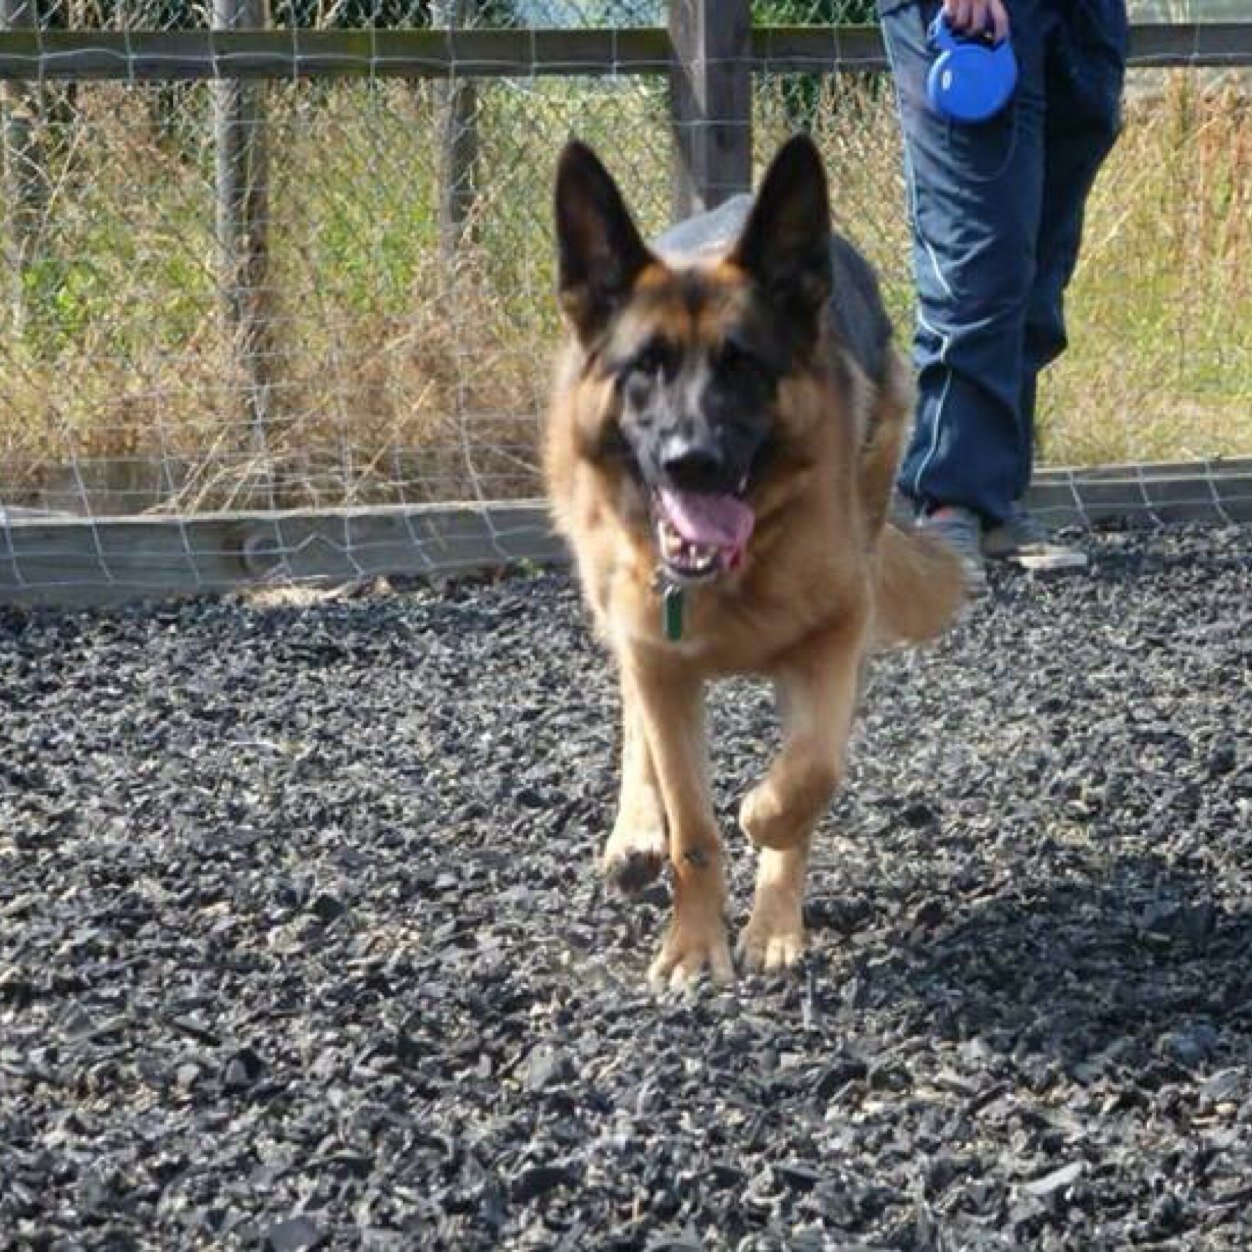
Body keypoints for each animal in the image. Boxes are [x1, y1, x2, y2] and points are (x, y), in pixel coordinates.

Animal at [543, 134, 961, 986]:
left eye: (745, 365)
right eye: (647, 366)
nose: (691, 462)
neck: (735, 573)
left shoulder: (834, 642)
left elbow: (809, 779)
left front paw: (770, 882)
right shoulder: (659, 659)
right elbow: (693, 829)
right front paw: (693, 943)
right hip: (619, 612)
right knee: (633, 714)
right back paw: (635, 832)